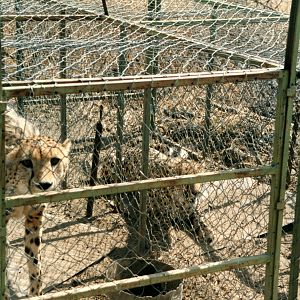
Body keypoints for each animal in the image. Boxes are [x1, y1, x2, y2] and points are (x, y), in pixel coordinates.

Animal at [4, 109, 71, 298]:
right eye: (27, 162)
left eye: (55, 160)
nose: (44, 185)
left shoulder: (34, 217)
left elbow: (34, 257)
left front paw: (36, 292)